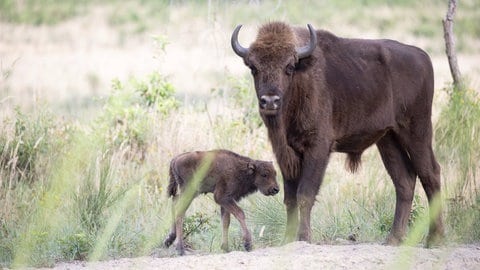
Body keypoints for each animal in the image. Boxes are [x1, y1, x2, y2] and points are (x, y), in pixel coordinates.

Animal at [231, 21, 444, 247]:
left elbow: (305, 194)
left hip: (416, 131)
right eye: (254, 68)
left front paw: (304, 237)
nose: (270, 101)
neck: (301, 79)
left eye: (289, 67)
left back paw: (435, 238)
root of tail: (422, 56)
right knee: (404, 180)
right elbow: (290, 198)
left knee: (430, 173)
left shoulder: (318, 148)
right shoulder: (286, 154)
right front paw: (287, 239)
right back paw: (394, 238)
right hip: (388, 138)